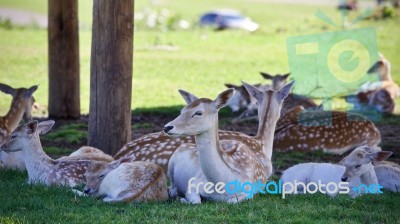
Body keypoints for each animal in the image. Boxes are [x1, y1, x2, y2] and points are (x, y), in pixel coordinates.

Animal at [165, 82, 294, 203]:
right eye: (182, 110)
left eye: (198, 113)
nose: (167, 127)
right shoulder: (195, 182)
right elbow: (195, 200)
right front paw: (181, 198)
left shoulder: (248, 192)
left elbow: (231, 201)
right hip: (171, 162)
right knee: (171, 184)